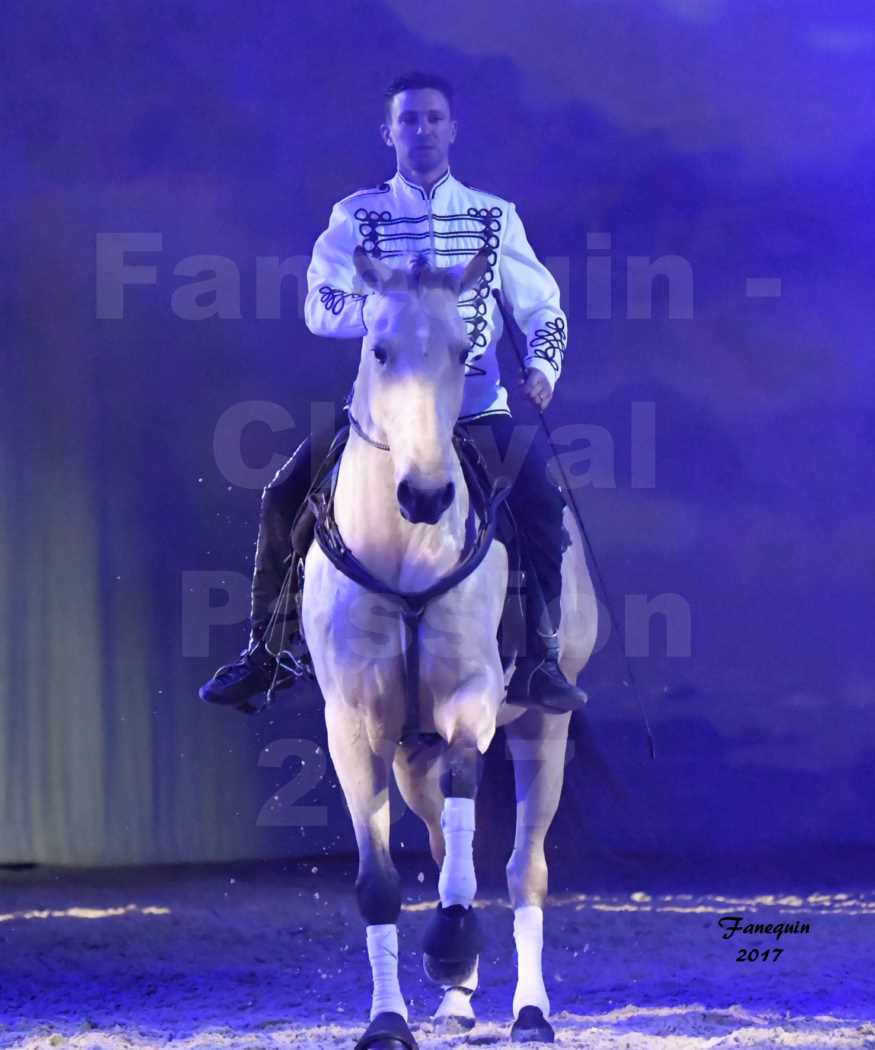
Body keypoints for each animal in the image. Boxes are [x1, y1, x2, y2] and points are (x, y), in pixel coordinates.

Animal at [302, 247, 600, 1050]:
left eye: (464, 351)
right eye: (378, 350)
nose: (426, 496)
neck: (404, 558)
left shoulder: (472, 700)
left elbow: (469, 792)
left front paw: (453, 940)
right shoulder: (353, 728)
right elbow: (379, 884)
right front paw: (387, 1020)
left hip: (542, 727)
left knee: (525, 869)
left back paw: (530, 1011)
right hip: (410, 754)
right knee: (437, 844)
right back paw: (458, 1002)